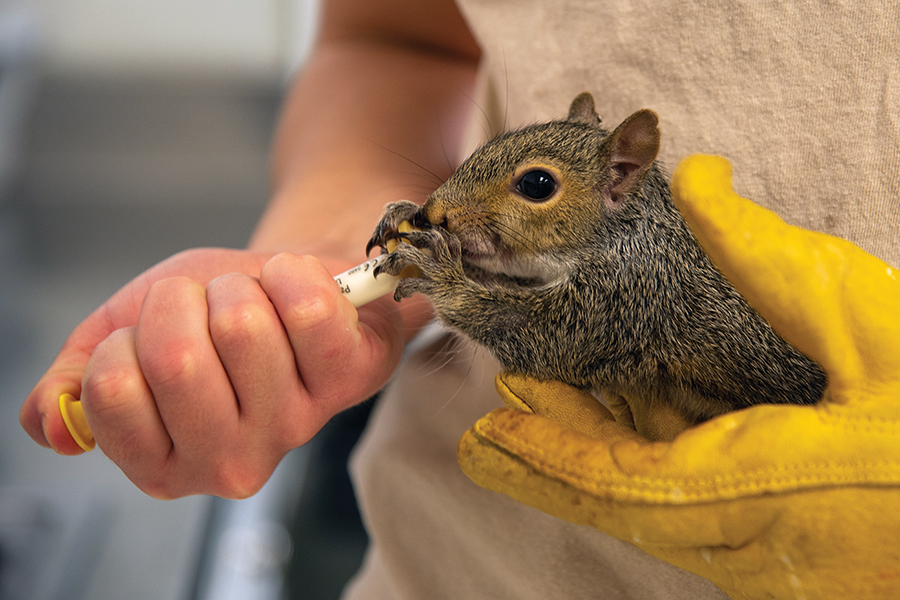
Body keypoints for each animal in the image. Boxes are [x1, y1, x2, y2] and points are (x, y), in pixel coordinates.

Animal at [366, 92, 824, 440]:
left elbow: (538, 331)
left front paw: (441, 276)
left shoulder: (628, 297)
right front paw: (402, 214)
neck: (631, 233)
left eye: (537, 184)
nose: (433, 212)